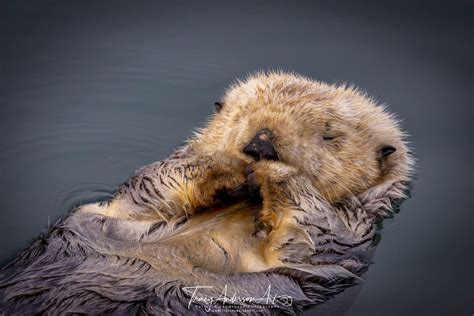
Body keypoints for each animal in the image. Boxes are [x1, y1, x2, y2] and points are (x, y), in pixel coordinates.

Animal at [0, 72, 412, 316]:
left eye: (329, 135)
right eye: (241, 114)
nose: (261, 145)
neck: (247, 204)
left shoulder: (344, 236)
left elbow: (311, 230)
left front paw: (275, 171)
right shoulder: (129, 206)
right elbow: (154, 183)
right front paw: (226, 163)